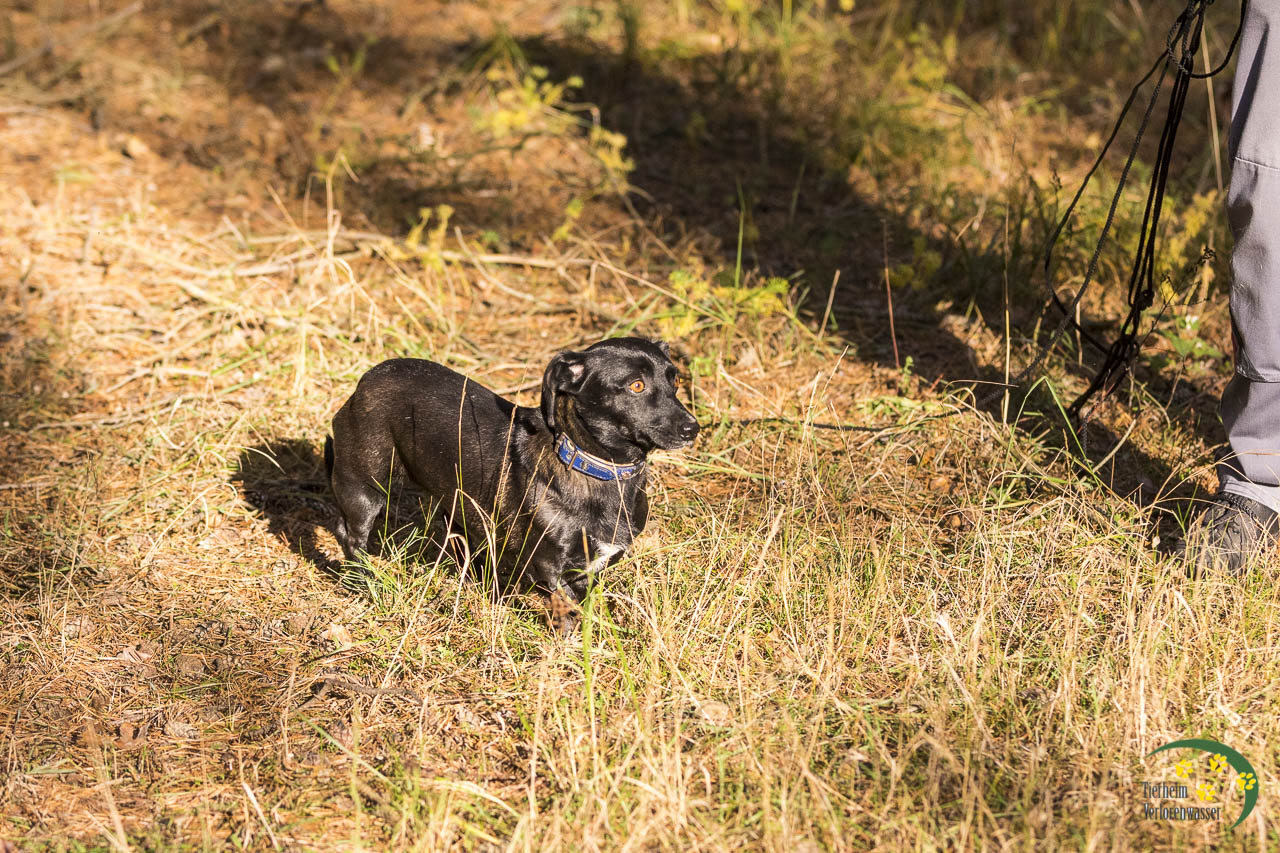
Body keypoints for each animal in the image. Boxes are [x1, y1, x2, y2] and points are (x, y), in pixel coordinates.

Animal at [323, 337, 699, 632]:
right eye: (636, 385)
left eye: (675, 380)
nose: (692, 428)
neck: (599, 469)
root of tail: (366, 380)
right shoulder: (549, 566)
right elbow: (566, 613)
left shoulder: (592, 568)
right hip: (365, 486)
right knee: (350, 535)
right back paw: (365, 582)